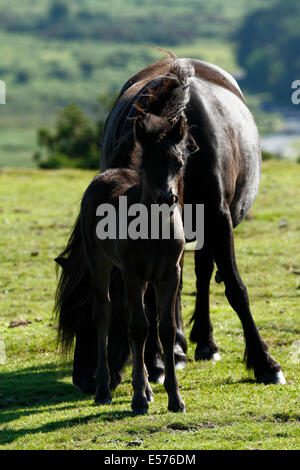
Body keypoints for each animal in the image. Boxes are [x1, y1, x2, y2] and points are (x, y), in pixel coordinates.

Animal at [56, 54, 286, 390]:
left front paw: (265, 363)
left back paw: (204, 342)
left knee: (202, 274)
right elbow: (152, 303)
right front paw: (156, 363)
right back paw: (175, 348)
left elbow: (235, 289)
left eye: (102, 309)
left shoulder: (217, 220)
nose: (85, 379)